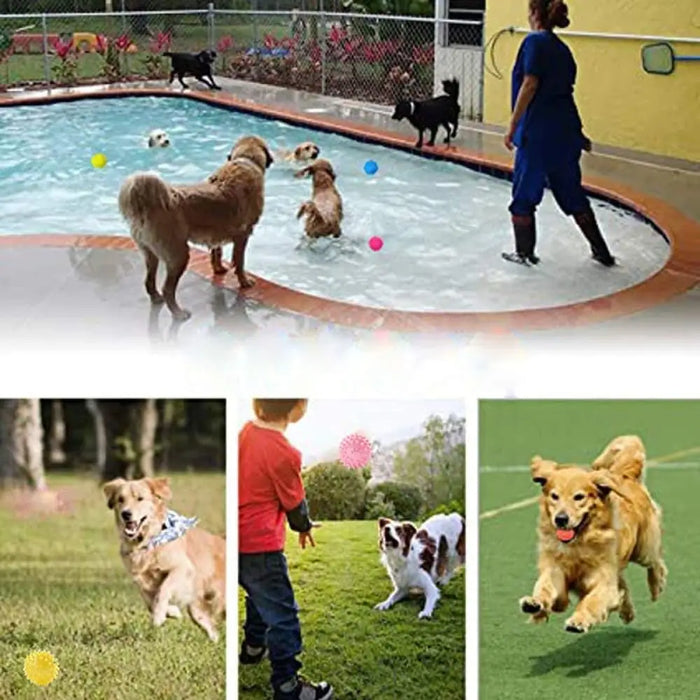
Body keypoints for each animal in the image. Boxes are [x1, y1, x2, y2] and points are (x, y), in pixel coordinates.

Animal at [102, 478, 224, 644]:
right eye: (120, 499)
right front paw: (172, 611)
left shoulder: (182, 568)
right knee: (209, 626)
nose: (126, 514)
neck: (146, 543)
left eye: (140, 498)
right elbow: (148, 601)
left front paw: (159, 615)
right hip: (196, 609)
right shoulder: (139, 577)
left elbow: (163, 589)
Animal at [117, 134, 274, 320]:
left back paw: (156, 298)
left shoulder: (217, 233)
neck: (245, 160)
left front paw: (219, 269)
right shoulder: (243, 235)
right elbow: (239, 262)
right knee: (168, 289)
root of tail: (148, 205)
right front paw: (244, 282)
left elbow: (216, 253)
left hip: (150, 253)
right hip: (178, 254)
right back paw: (178, 313)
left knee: (149, 281)